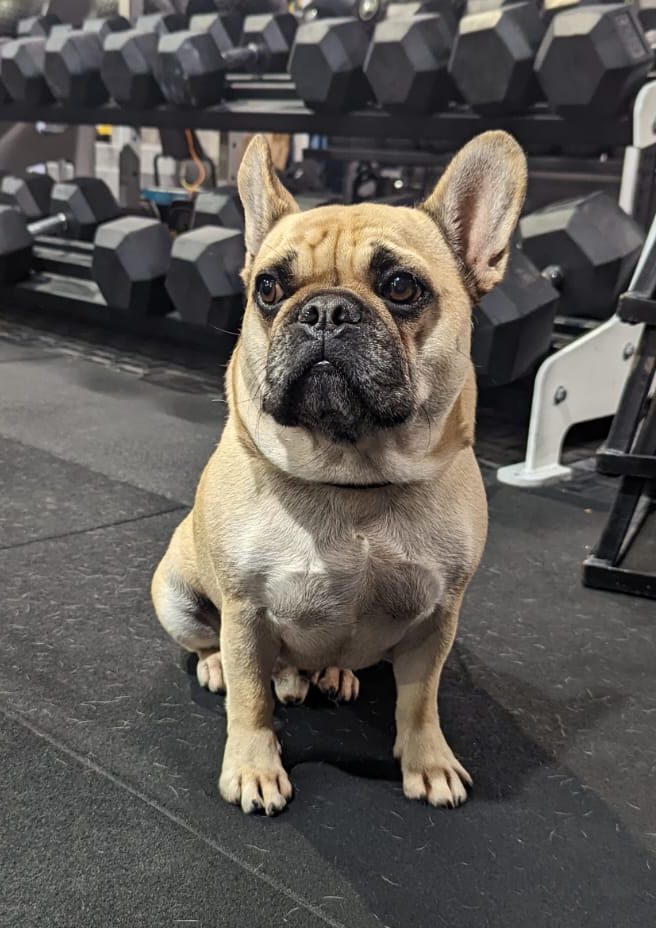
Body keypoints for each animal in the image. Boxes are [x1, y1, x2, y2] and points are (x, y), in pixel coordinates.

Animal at [151, 131, 527, 815]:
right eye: (269, 289)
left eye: (401, 286)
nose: (325, 310)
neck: (352, 479)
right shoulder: (245, 612)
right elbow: (251, 700)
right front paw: (253, 768)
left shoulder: (439, 617)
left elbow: (421, 699)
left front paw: (429, 762)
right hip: (176, 594)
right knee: (218, 650)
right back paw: (223, 666)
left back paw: (331, 671)